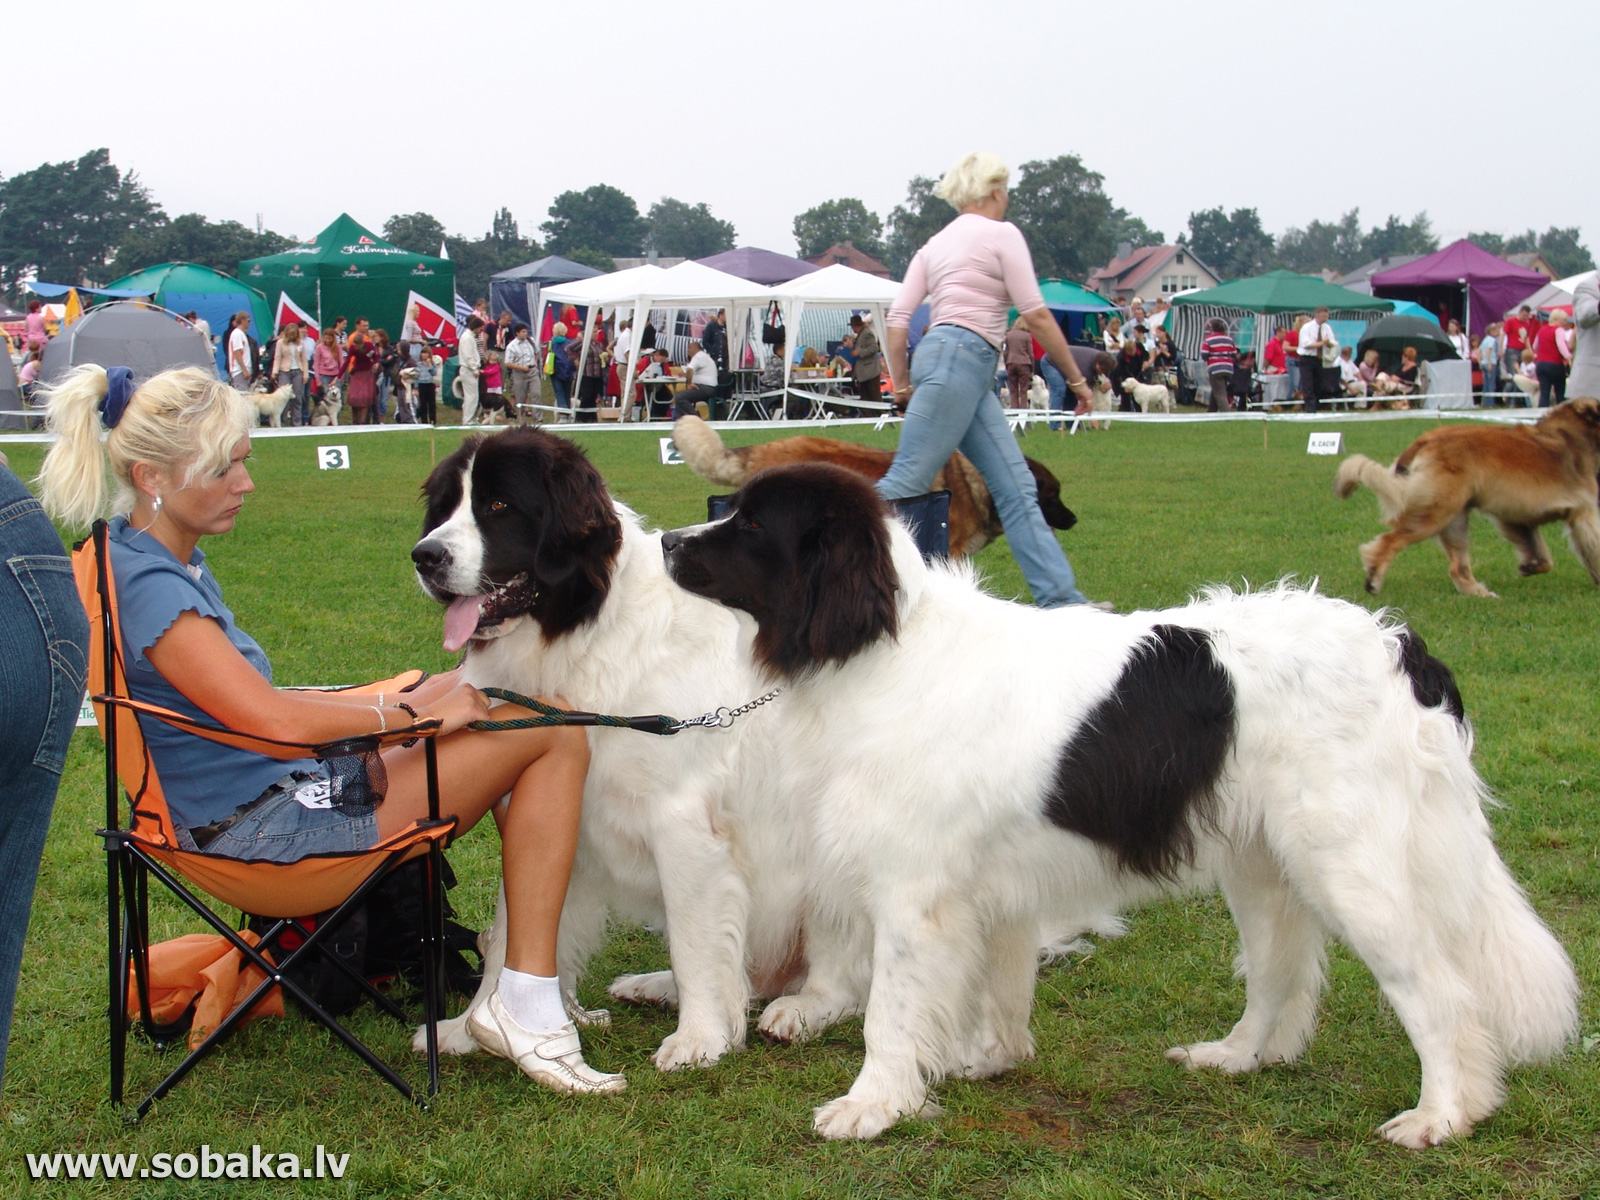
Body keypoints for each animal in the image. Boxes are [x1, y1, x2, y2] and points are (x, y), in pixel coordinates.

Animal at [406, 432, 806, 1068]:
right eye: (445, 508)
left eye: (498, 506)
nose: (425, 556)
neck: (586, 639)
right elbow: (510, 929)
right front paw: (467, 1029)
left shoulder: (682, 824)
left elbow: (695, 939)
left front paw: (700, 1037)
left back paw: (798, 1008)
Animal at [659, 460, 1574, 1145]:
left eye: (751, 527)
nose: (666, 538)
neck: (884, 645)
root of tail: (1403, 649)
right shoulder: (988, 893)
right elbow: (999, 988)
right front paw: (987, 1060)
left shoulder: (914, 894)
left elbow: (891, 1008)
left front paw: (873, 1104)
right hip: (1262, 865)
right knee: (1279, 974)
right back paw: (1237, 1056)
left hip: (1353, 868)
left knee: (1437, 992)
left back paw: (1442, 1114)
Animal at [1331, 396, 1600, 598]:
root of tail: (1425, 440)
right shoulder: (1584, 513)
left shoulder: (1517, 517)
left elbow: (1541, 555)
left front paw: (1529, 566)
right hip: (1436, 512)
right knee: (1390, 541)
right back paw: (1373, 579)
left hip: (1455, 518)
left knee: (1457, 568)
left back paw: (1480, 593)